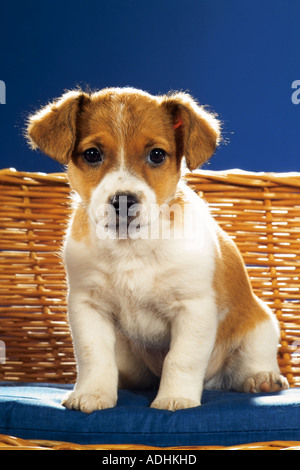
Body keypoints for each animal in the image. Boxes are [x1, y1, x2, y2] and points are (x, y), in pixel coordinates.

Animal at [25, 87, 288, 412]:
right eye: (92, 154)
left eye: (157, 155)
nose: (123, 200)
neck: (131, 247)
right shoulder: (88, 306)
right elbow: (93, 356)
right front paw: (93, 393)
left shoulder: (193, 309)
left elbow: (181, 359)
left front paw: (175, 397)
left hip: (260, 326)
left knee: (248, 364)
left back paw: (262, 377)